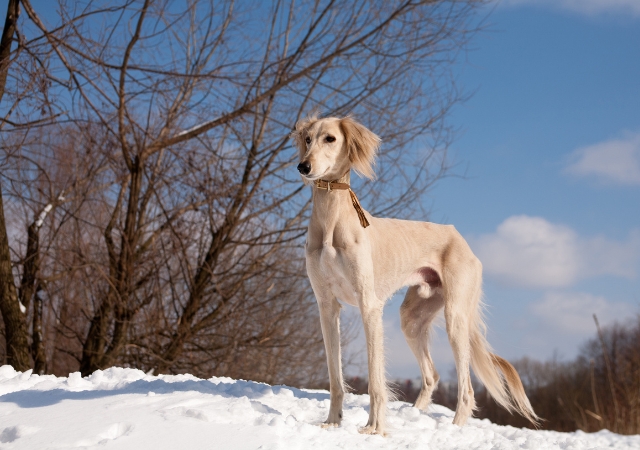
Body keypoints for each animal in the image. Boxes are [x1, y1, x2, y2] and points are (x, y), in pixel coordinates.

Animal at [292, 114, 540, 434]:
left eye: (330, 139)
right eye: (308, 138)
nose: (304, 167)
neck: (331, 220)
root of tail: (460, 238)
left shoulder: (368, 304)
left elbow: (376, 379)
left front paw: (374, 429)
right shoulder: (326, 306)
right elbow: (335, 377)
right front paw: (333, 423)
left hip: (455, 317)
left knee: (466, 389)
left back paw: (453, 428)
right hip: (412, 318)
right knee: (432, 375)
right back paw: (416, 415)